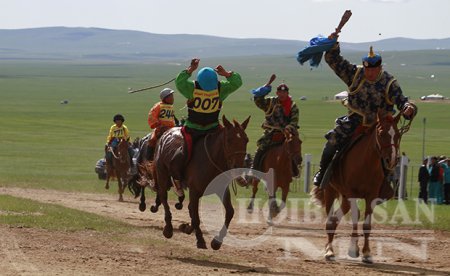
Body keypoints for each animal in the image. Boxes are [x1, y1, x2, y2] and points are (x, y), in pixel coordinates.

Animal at [151, 115, 250, 249]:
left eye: (246, 140)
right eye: (229, 140)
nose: (238, 167)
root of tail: (166, 133)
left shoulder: (221, 189)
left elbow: (229, 212)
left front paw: (216, 241)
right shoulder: (194, 191)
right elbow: (196, 217)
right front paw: (200, 240)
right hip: (162, 175)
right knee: (163, 197)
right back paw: (168, 229)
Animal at [312, 111, 402, 264]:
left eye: (397, 134)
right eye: (381, 133)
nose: (391, 159)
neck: (365, 163)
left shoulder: (371, 196)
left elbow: (366, 225)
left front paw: (367, 253)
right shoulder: (352, 193)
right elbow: (355, 216)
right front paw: (353, 249)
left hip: (344, 197)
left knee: (336, 219)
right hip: (331, 192)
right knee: (330, 221)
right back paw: (329, 251)